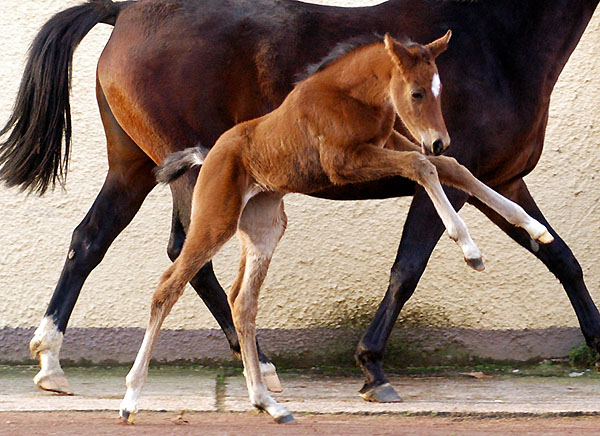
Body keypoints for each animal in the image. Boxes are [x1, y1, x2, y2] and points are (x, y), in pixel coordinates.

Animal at [120, 32, 552, 424]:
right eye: (416, 93)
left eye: (439, 90)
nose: (439, 140)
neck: (355, 99)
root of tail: (208, 154)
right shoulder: (344, 164)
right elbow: (423, 167)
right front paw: (469, 249)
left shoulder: (390, 142)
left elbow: (450, 167)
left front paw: (533, 227)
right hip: (215, 221)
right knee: (168, 287)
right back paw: (131, 399)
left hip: (264, 229)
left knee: (242, 302)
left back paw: (269, 404)